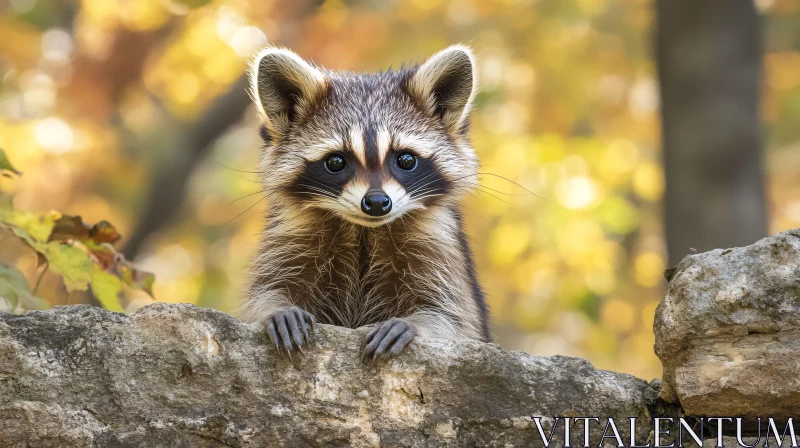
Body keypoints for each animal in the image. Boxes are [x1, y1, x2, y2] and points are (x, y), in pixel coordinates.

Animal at [239, 45, 488, 360]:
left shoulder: (438, 243)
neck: (363, 230)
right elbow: (268, 288)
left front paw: (415, 324)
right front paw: (277, 309)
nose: (378, 202)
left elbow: (453, 313)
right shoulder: (290, 234)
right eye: (335, 162)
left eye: (406, 159)